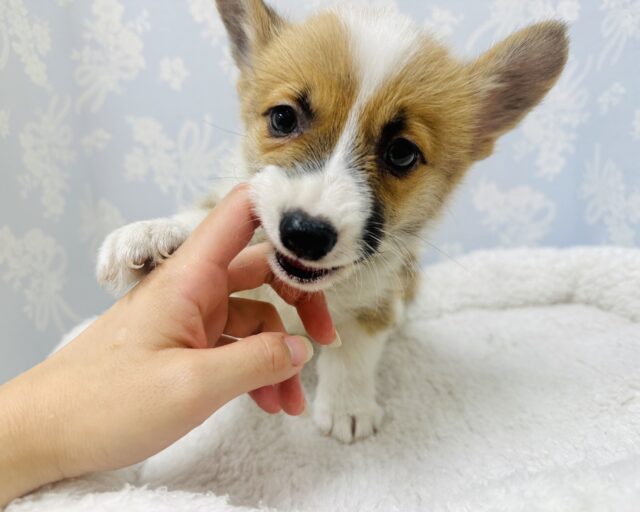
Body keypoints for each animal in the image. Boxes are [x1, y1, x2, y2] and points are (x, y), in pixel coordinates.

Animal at [95, 1, 564, 444]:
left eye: (402, 153)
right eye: (283, 118)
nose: (304, 234)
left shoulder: (379, 300)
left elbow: (353, 348)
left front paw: (347, 408)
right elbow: (208, 214)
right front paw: (151, 235)